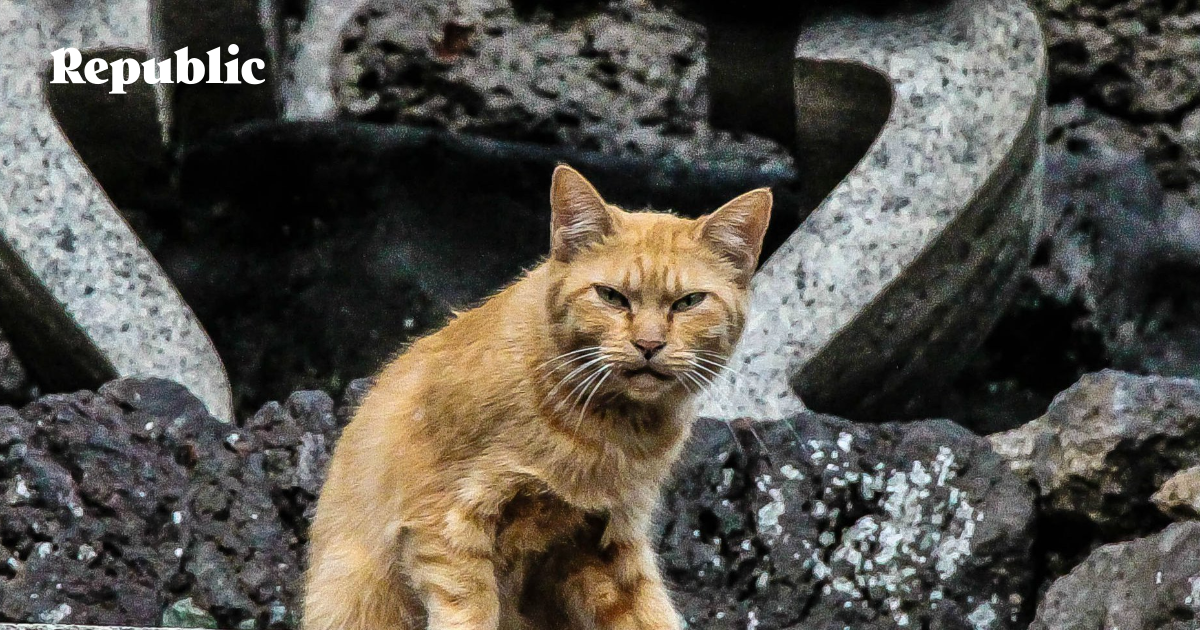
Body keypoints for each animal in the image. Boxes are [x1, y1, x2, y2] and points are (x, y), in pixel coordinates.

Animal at [300, 164, 768, 624]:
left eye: (689, 302)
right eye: (611, 296)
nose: (649, 344)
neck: (606, 430)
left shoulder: (610, 538)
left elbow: (650, 613)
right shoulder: (446, 521)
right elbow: (470, 611)